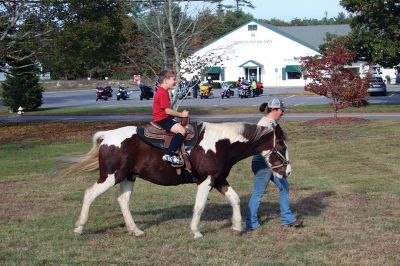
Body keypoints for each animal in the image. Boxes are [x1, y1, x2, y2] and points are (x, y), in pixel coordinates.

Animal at [66, 120, 290, 239]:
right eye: (281, 146)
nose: (287, 172)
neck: (220, 145)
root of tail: (107, 136)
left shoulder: (219, 180)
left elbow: (234, 199)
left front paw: (236, 227)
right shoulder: (206, 181)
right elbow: (199, 206)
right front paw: (196, 232)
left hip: (128, 177)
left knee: (123, 201)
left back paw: (135, 230)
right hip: (110, 177)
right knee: (89, 194)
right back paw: (78, 228)